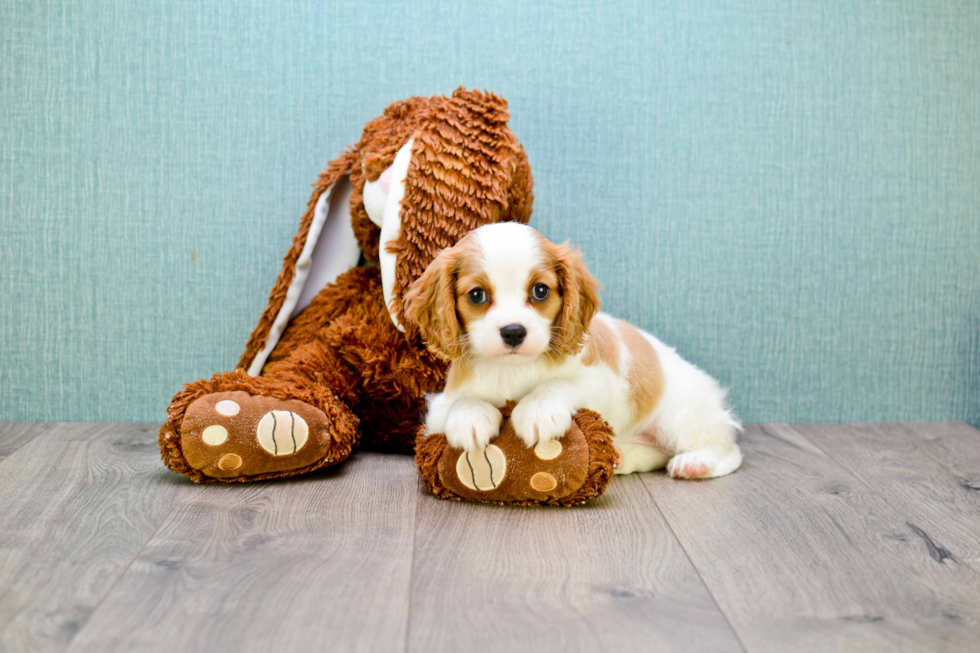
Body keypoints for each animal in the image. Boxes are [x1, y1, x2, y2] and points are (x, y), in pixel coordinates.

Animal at [402, 222, 740, 476]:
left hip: (682, 415)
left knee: (727, 447)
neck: (513, 368)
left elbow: (560, 384)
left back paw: (695, 462)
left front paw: (539, 409)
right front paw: (470, 418)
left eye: (540, 291)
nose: (513, 332)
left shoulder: (603, 384)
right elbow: (461, 403)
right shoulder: (440, 406)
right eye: (476, 295)